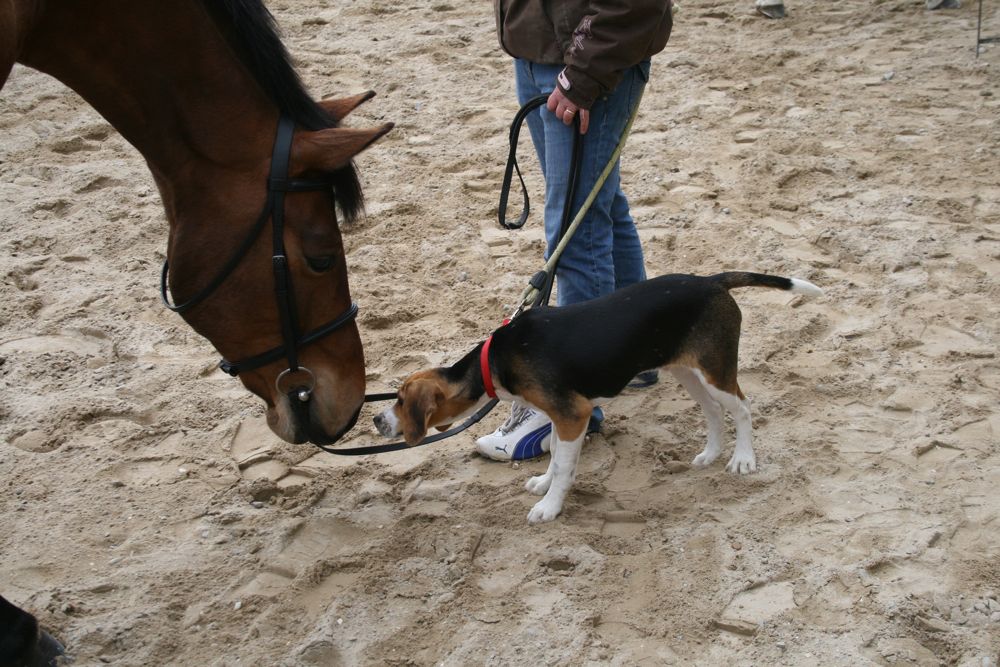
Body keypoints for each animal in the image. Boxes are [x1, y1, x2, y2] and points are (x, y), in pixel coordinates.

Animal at [374, 272, 822, 524]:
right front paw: (544, 483)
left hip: (714, 370)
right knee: (713, 412)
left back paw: (743, 459)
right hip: (685, 370)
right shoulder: (560, 418)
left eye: (400, 400)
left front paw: (550, 507)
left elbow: (564, 464)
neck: (495, 359)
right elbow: (556, 455)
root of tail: (711, 282)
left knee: (742, 409)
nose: (377, 420)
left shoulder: (573, 413)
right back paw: (711, 454)